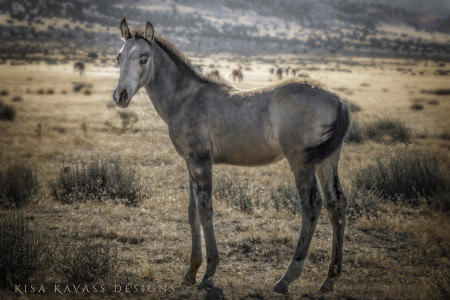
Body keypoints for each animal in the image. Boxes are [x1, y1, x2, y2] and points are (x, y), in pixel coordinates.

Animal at [113, 19, 352, 296]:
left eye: (143, 58)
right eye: (119, 57)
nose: (120, 95)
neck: (186, 98)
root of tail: (337, 99)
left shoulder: (201, 162)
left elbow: (206, 210)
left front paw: (208, 274)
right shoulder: (189, 162)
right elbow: (192, 211)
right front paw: (190, 272)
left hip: (302, 164)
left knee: (312, 206)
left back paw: (286, 279)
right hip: (327, 162)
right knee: (336, 204)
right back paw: (329, 279)